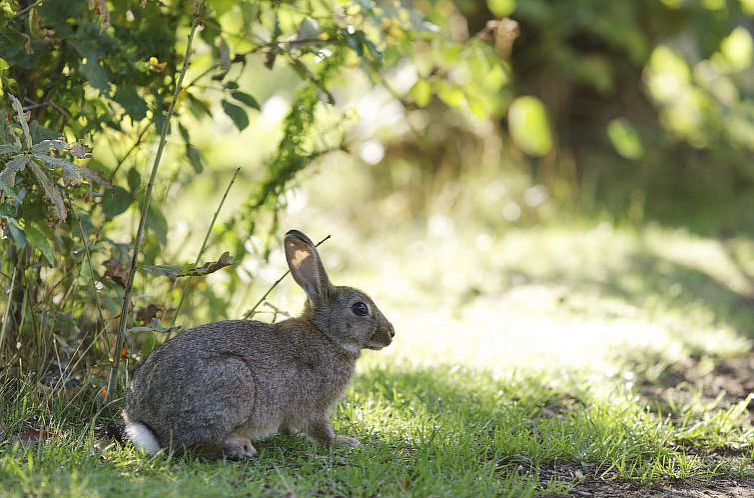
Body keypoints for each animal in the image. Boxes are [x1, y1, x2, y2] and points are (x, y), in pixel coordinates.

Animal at [122, 230, 394, 460]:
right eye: (360, 309)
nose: (391, 334)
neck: (326, 334)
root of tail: (146, 423)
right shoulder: (314, 405)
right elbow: (319, 429)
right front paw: (344, 442)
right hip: (232, 378)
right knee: (190, 447)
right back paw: (240, 448)